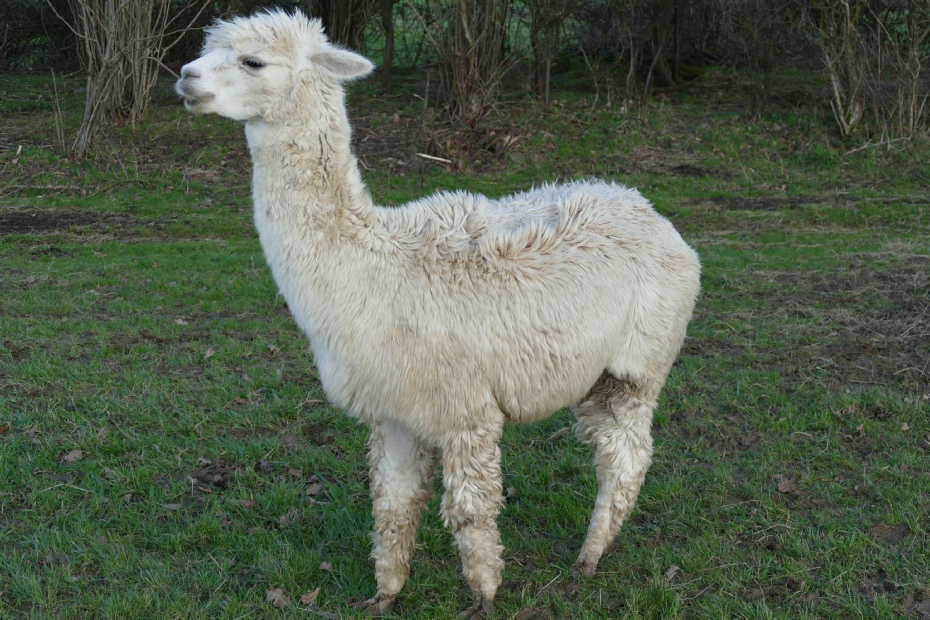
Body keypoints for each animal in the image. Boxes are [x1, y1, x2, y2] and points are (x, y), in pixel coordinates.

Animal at [176, 9, 701, 617]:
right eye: (208, 49)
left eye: (253, 61)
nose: (186, 78)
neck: (373, 268)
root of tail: (645, 206)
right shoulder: (396, 410)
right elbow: (392, 504)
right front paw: (384, 594)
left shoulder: (466, 408)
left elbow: (472, 511)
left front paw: (485, 597)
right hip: (598, 375)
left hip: (639, 365)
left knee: (627, 457)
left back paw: (587, 559)